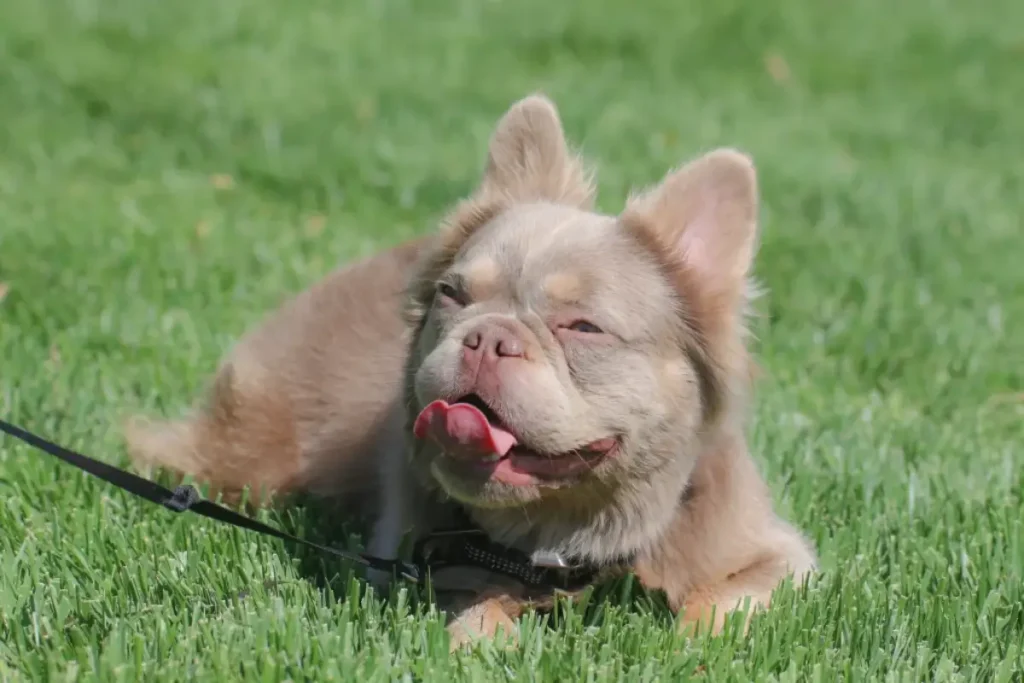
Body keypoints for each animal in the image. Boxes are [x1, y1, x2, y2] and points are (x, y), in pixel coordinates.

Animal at [125, 93, 815, 651]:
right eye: (454, 296)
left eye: (582, 328)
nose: (489, 337)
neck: (563, 535)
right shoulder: (420, 566)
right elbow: (480, 610)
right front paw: (478, 638)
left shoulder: (780, 560)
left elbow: (723, 603)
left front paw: (691, 645)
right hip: (249, 460)